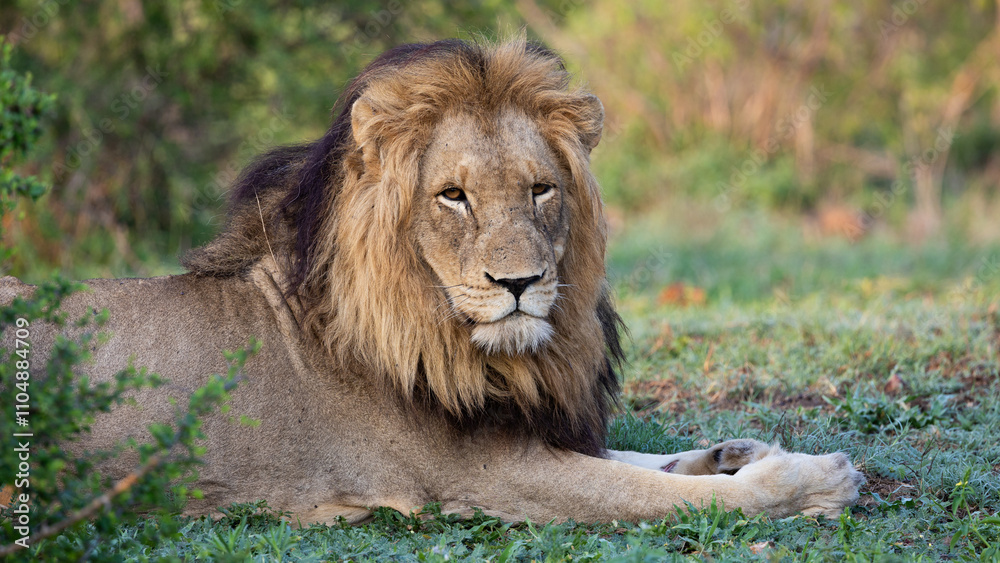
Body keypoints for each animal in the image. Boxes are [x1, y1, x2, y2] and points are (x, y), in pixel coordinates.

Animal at [0, 38, 863, 524]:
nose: (520, 282)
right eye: (453, 195)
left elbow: (646, 463)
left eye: (541, 189)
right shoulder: (482, 477)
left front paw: (733, 449)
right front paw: (816, 477)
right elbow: (657, 495)